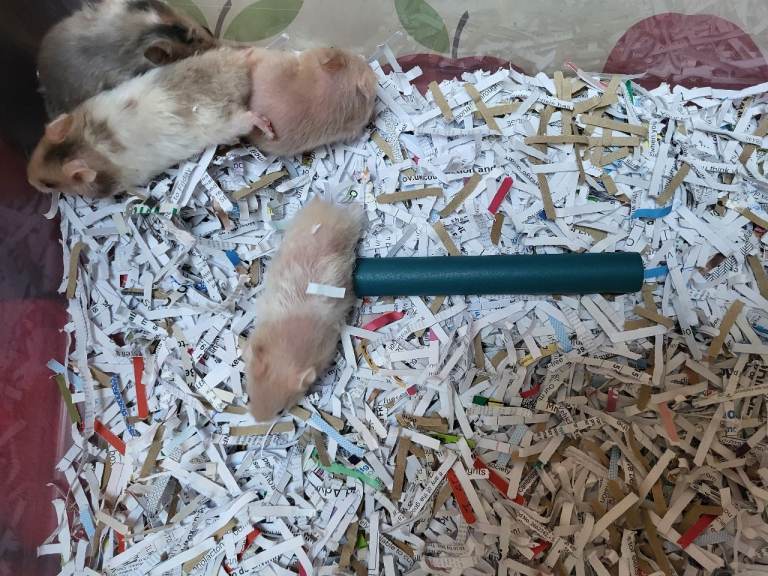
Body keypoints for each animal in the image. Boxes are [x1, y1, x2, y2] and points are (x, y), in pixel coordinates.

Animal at [27, 47, 269, 198]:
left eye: (49, 184)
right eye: (36, 152)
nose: (29, 181)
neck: (88, 146)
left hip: (228, 124)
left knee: (248, 118)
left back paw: (267, 126)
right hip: (214, 60)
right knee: (237, 57)